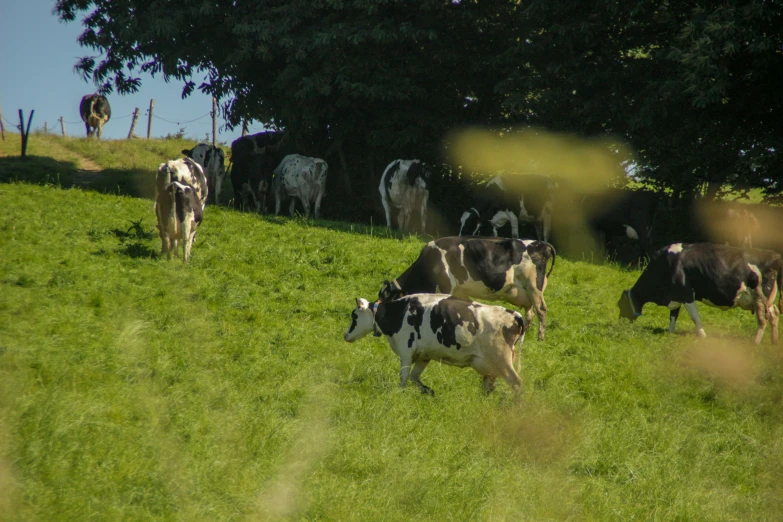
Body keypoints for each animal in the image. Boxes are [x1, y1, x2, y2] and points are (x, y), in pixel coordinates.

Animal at [344, 292, 528, 394]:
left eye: (354, 315)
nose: (345, 335)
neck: (399, 312)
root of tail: (515, 314)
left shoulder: (405, 351)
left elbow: (404, 377)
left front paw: (400, 393)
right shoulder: (424, 355)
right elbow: (414, 377)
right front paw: (428, 391)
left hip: (501, 359)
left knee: (517, 382)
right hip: (491, 364)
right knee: (490, 385)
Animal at [380, 236, 556, 342]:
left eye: (388, 302)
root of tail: (542, 244)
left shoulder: (445, 288)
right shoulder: (461, 291)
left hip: (534, 286)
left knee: (541, 310)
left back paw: (540, 338)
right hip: (526, 292)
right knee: (530, 312)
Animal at [620, 242, 783, 344]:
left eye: (620, 305)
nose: (620, 322)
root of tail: (775, 256)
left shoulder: (685, 293)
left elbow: (695, 317)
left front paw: (703, 337)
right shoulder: (676, 294)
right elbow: (673, 315)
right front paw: (670, 333)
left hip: (760, 296)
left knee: (763, 319)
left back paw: (755, 343)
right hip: (769, 299)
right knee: (774, 314)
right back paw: (774, 341)